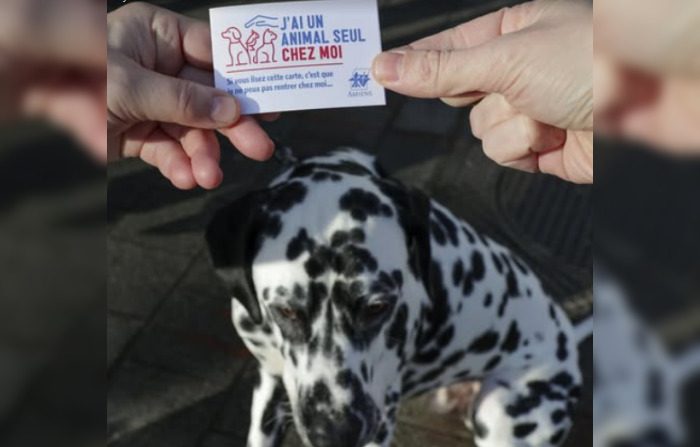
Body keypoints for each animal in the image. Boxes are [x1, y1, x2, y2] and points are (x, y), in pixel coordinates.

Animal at [206, 149, 584, 446]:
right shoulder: (270, 380)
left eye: (378, 307)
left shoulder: (382, 411)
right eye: (286, 310)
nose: (337, 434)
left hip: (504, 414)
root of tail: (568, 339)